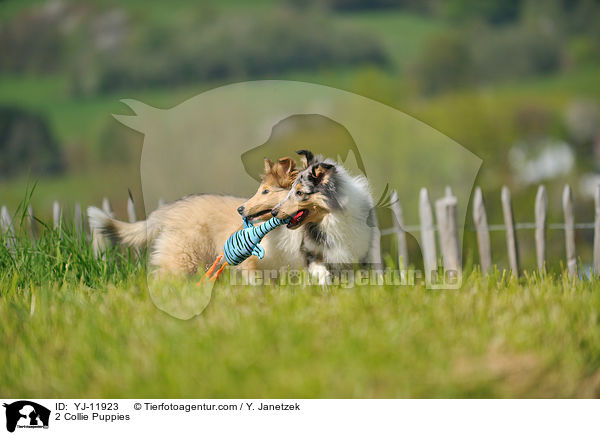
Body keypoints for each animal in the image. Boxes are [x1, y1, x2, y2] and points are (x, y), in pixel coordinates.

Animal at [272, 151, 376, 286]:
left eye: (299, 192)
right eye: (291, 190)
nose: (273, 212)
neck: (330, 218)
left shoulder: (357, 254)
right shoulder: (312, 252)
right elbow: (321, 272)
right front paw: (324, 287)